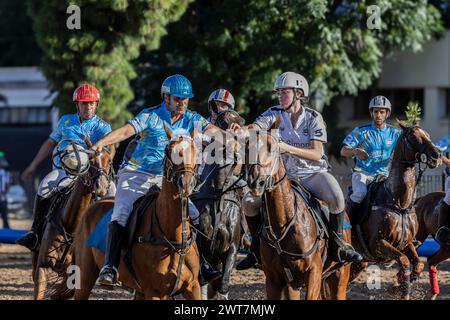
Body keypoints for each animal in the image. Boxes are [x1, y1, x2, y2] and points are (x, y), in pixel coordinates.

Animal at [32, 138, 115, 300]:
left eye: (109, 161)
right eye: (90, 160)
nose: (101, 187)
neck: (70, 225)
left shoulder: (76, 275)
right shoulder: (43, 267)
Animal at [72, 125, 202, 300]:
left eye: (195, 150)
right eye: (169, 151)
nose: (186, 183)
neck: (173, 238)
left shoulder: (193, 286)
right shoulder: (154, 292)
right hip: (84, 278)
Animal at [350, 122, 442, 300]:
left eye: (427, 134)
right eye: (412, 136)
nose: (436, 155)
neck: (399, 203)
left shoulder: (407, 243)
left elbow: (418, 264)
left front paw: (402, 284)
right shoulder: (378, 243)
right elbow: (404, 261)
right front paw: (401, 288)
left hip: (358, 263)